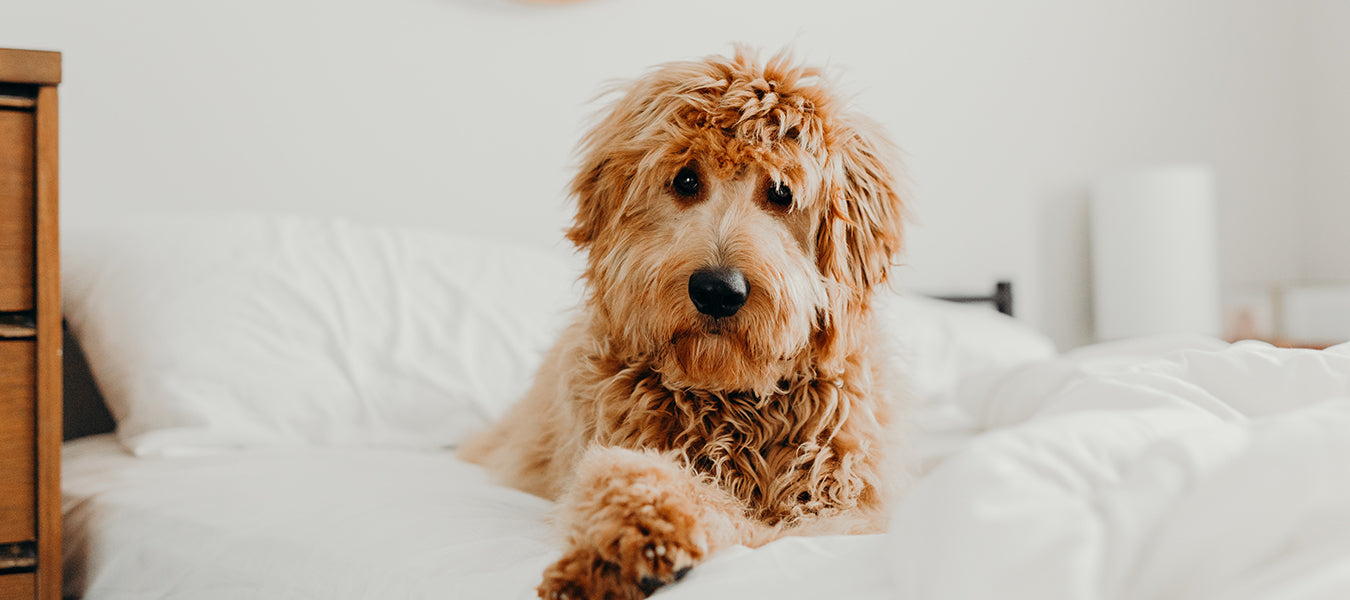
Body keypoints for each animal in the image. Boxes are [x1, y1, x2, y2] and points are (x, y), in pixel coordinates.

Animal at [459, 47, 912, 600]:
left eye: (782, 193)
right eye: (686, 180)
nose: (717, 291)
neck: (731, 402)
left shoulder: (843, 508)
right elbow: (634, 475)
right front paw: (630, 537)